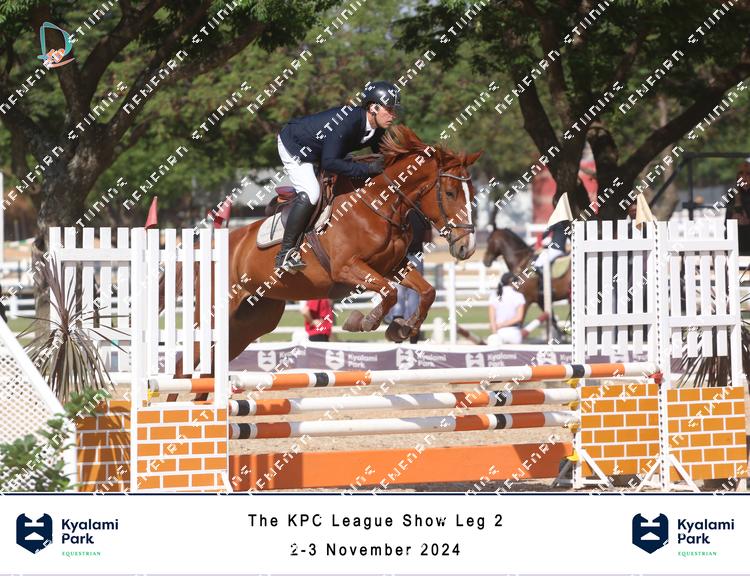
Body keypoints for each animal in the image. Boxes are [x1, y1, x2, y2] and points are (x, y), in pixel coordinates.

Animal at [205, 126, 481, 364]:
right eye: (450, 193)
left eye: (472, 191)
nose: (467, 247)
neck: (378, 205)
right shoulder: (347, 267)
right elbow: (389, 292)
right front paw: (364, 322)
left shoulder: (393, 266)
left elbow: (427, 292)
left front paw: (402, 329)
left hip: (256, 318)